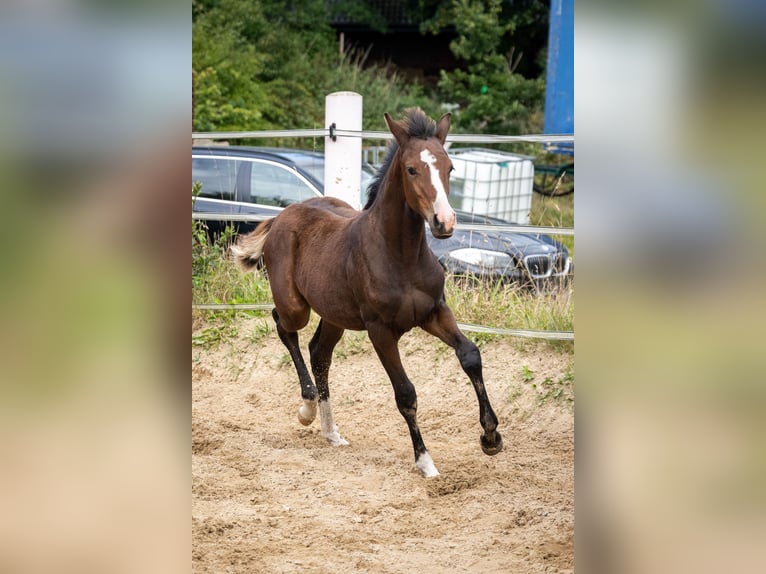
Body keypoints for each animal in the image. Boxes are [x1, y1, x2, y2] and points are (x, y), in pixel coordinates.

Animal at [231, 108, 502, 477]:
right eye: (411, 169)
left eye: (450, 168)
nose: (444, 222)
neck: (401, 256)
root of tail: (282, 215)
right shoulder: (381, 330)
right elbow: (405, 393)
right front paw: (425, 462)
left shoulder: (434, 312)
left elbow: (471, 356)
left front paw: (491, 437)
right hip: (295, 306)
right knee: (284, 327)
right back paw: (307, 408)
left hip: (334, 315)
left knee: (319, 353)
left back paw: (331, 431)